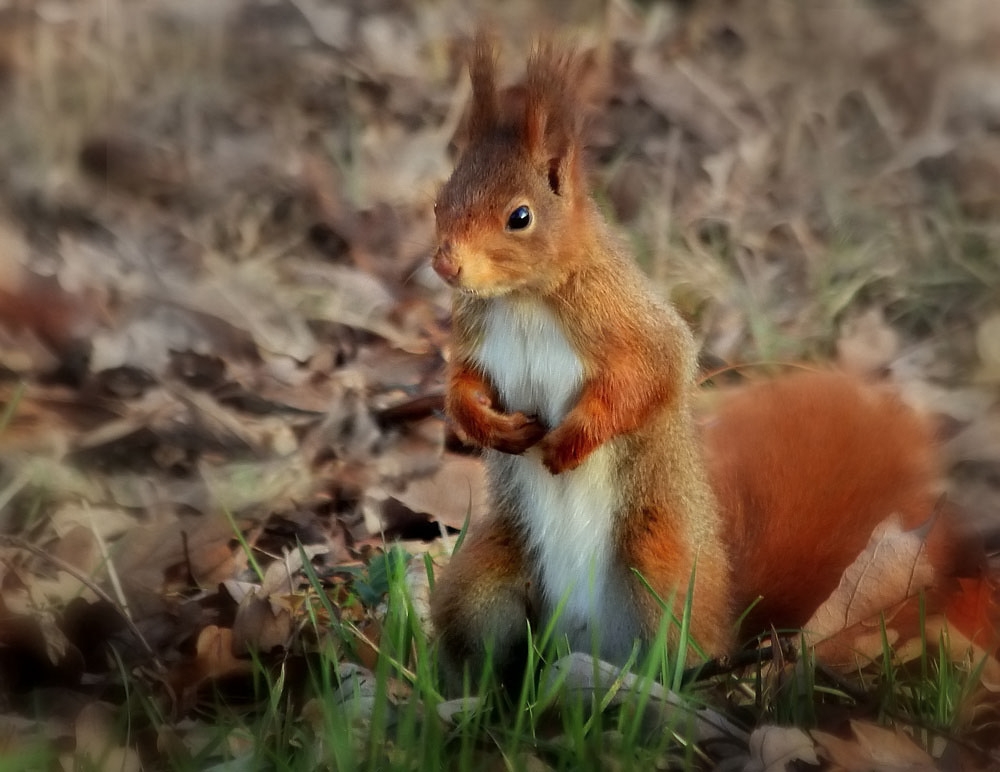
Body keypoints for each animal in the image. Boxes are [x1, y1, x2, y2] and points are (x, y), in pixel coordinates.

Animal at [428, 39, 960, 684]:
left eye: (520, 217)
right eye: (439, 200)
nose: (446, 264)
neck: (523, 300)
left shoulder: (632, 323)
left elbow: (651, 376)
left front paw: (573, 441)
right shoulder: (475, 336)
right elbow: (462, 382)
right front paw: (487, 425)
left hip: (660, 566)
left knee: (680, 649)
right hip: (486, 574)